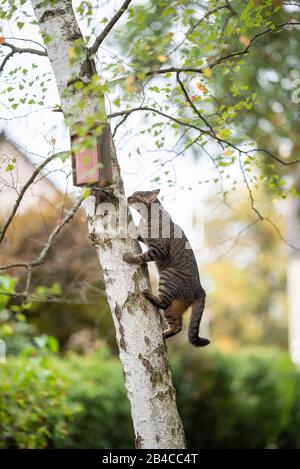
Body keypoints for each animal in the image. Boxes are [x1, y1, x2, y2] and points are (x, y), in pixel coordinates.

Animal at [123, 188, 210, 346]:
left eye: (136, 196)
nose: (128, 197)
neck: (146, 218)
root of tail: (200, 289)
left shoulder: (158, 250)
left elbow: (142, 256)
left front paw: (130, 258)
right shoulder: (145, 238)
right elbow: (138, 234)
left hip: (168, 275)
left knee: (163, 303)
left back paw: (150, 296)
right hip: (173, 308)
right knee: (177, 326)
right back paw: (163, 336)